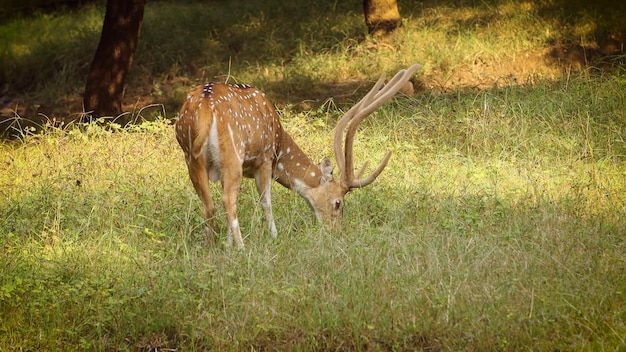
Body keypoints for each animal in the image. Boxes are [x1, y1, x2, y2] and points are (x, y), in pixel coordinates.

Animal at [174, 64, 420, 249]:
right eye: (338, 203)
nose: (336, 231)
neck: (280, 142)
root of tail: (205, 107)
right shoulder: (264, 158)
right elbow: (266, 200)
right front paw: (273, 236)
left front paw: (227, 245)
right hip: (233, 151)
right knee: (227, 200)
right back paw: (243, 248)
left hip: (191, 156)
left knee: (209, 204)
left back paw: (210, 247)